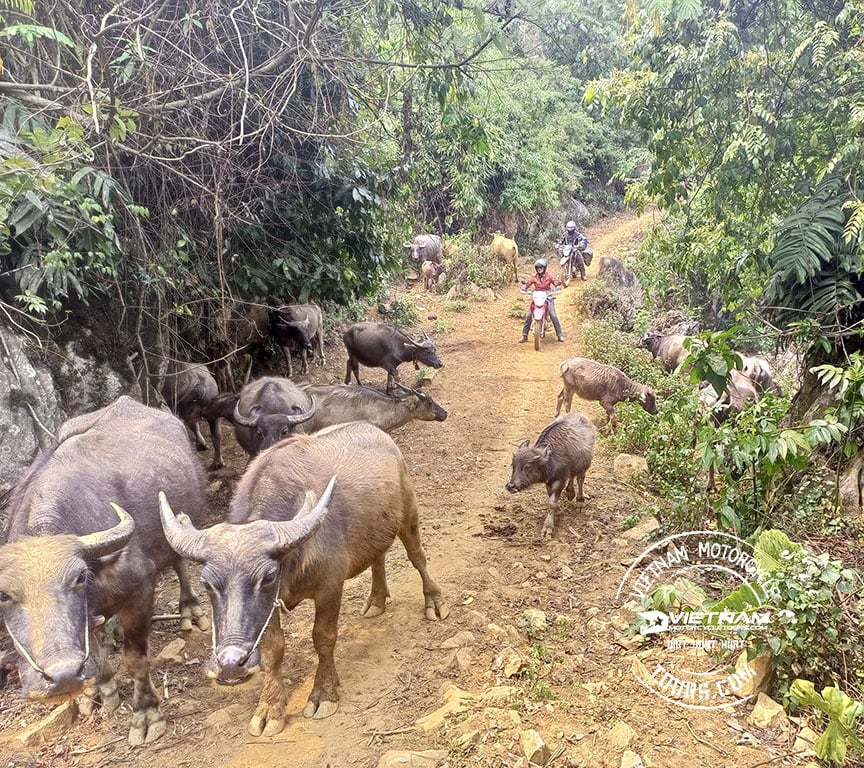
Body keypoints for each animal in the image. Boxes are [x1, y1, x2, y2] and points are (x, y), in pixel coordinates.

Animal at [0, 396, 208, 744]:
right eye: (3, 595)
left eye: (80, 577)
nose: (61, 677)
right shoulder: (89, 618)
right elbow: (96, 652)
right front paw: (103, 691)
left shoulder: (139, 592)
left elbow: (135, 660)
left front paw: (146, 714)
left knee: (179, 561)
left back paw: (190, 611)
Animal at [158, 420, 448, 736]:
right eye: (206, 583)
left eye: (268, 576)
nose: (231, 663)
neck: (294, 557)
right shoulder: (270, 607)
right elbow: (273, 648)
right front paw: (269, 709)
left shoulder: (330, 587)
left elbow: (323, 637)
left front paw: (324, 695)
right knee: (378, 556)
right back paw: (376, 600)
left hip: (409, 512)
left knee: (417, 556)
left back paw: (434, 602)